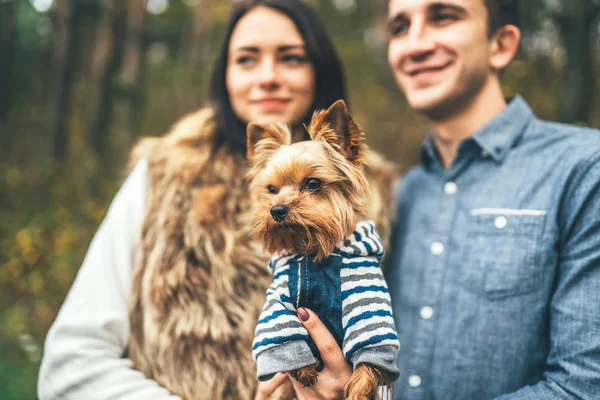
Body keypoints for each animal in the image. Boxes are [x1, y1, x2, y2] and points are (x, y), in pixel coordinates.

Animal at [246, 98, 400, 398]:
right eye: (271, 189)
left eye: (313, 183)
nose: (276, 210)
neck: (313, 252)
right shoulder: (278, 299)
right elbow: (281, 332)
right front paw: (303, 369)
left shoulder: (367, 295)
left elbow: (371, 342)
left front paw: (360, 387)